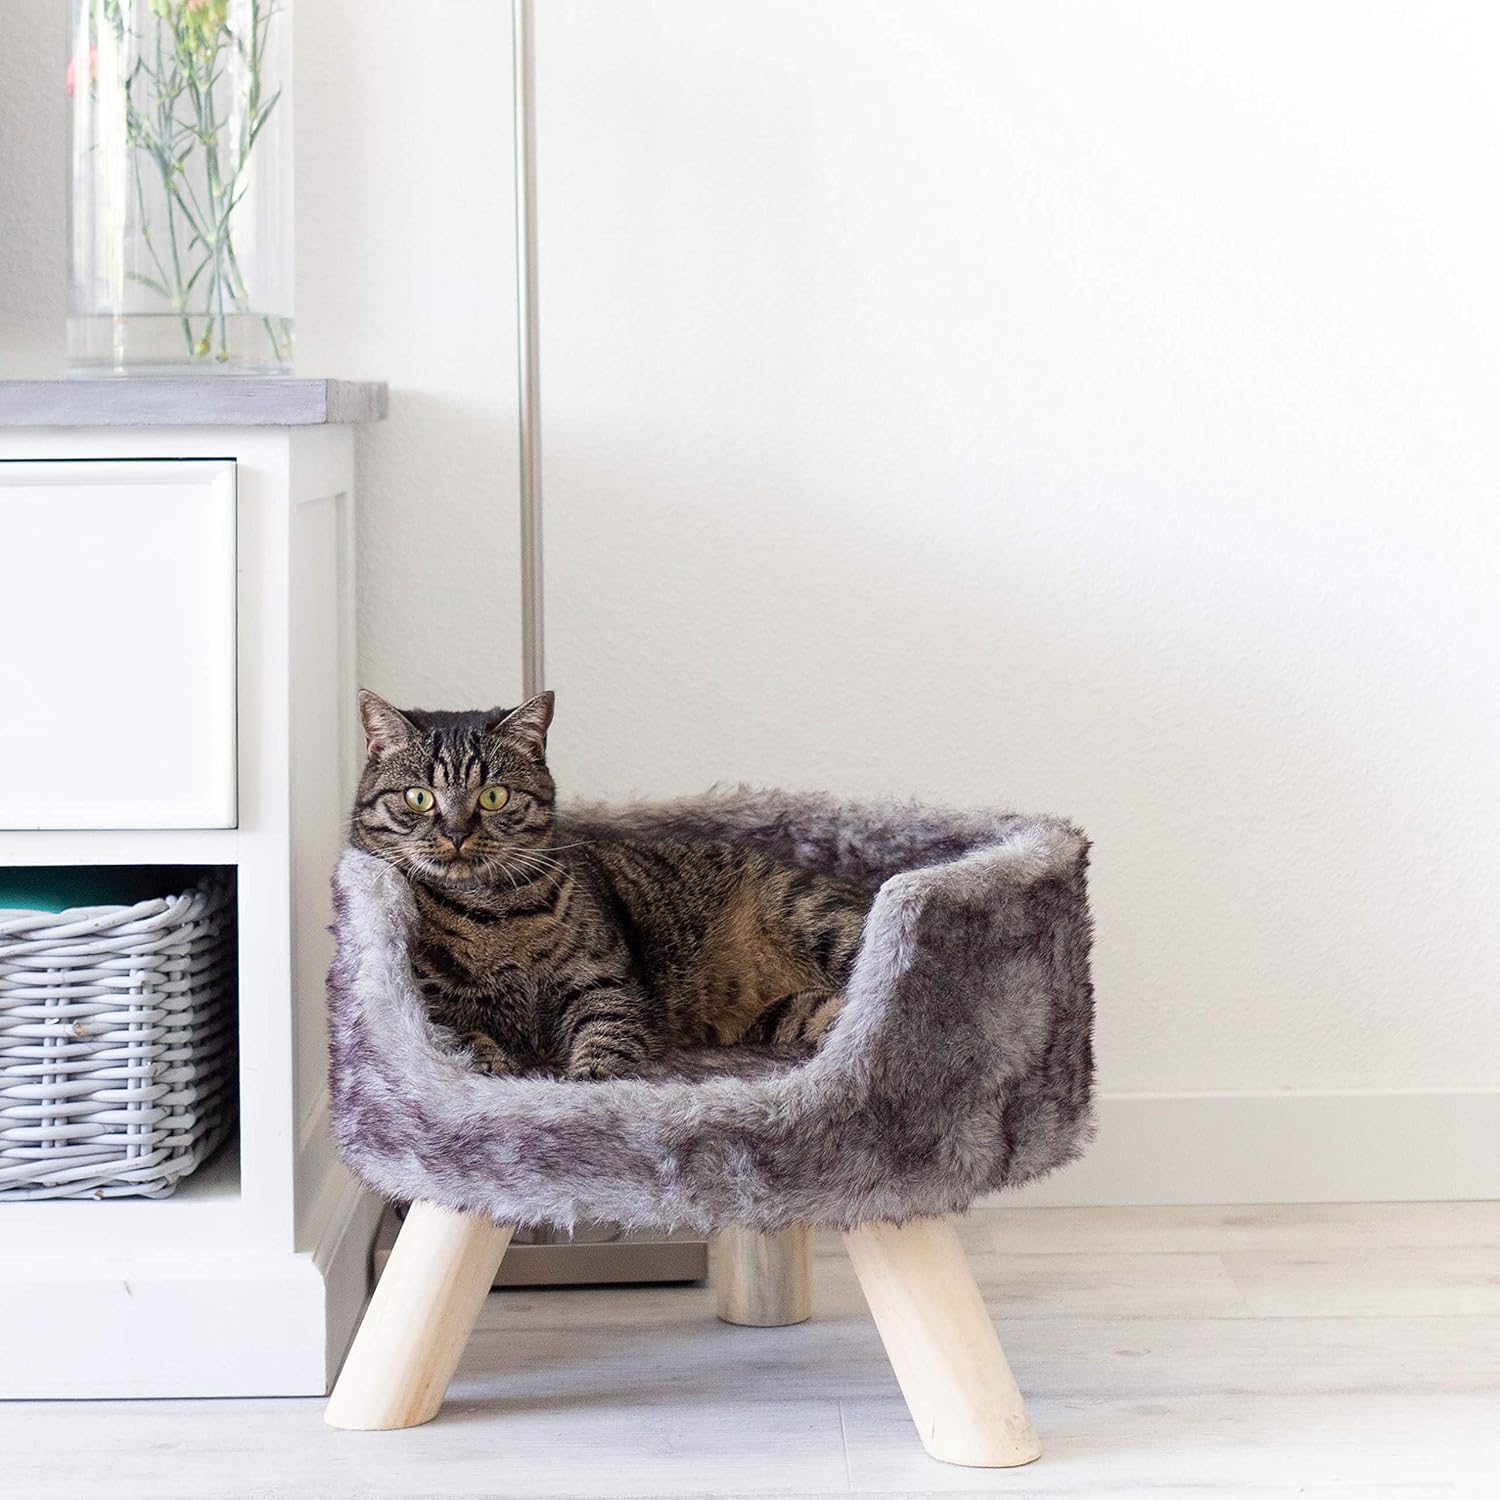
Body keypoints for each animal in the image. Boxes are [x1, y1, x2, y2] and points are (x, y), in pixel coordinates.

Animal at [348, 689, 874, 1080]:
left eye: (493, 796)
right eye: (419, 797)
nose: (456, 834)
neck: (490, 913)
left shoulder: (602, 984)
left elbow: (604, 1045)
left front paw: (581, 1089)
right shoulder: (438, 1008)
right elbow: (469, 1043)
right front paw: (493, 1071)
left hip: (817, 917)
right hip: (794, 1008)